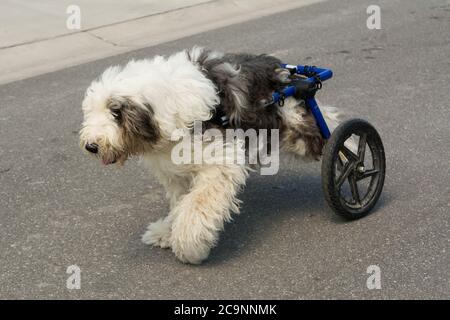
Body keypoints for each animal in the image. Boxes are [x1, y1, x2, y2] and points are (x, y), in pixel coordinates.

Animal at [81, 46, 342, 264]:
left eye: (116, 112)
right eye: (92, 110)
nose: (91, 146)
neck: (165, 109)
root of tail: (283, 70)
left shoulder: (220, 161)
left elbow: (198, 203)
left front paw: (189, 244)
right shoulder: (177, 172)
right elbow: (180, 202)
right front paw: (167, 232)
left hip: (298, 124)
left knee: (332, 130)